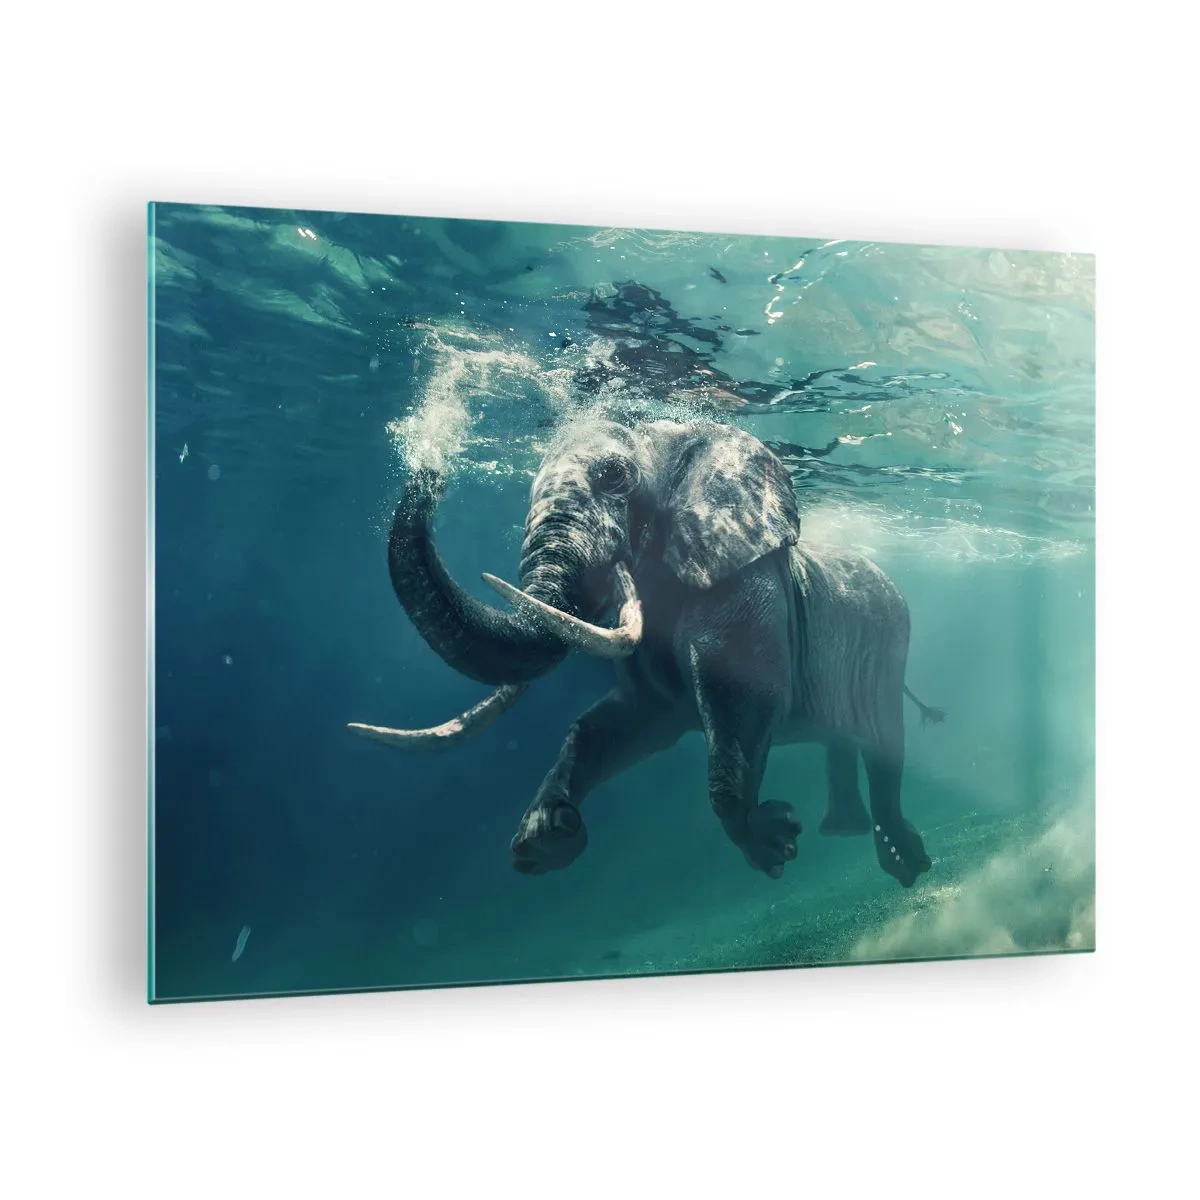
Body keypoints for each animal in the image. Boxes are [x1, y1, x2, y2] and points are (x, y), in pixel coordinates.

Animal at [349, 418, 943, 887]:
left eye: (613, 477)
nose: (430, 469)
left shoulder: (743, 582)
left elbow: (744, 700)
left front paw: (774, 844)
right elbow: (620, 723)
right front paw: (545, 839)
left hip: (892, 642)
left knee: (885, 747)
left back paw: (903, 863)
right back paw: (842, 831)